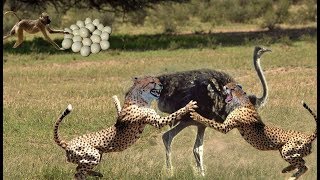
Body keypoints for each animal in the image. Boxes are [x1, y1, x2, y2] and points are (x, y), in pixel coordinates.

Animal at [53, 75, 198, 179]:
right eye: (152, 82)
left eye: (157, 80)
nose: (161, 85)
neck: (140, 98)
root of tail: (67, 143)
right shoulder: (157, 121)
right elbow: (174, 114)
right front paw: (188, 106)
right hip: (93, 155)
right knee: (78, 173)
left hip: (95, 156)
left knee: (79, 169)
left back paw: (97, 174)